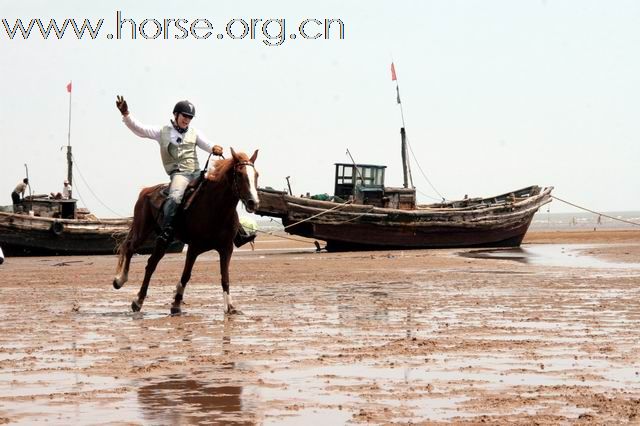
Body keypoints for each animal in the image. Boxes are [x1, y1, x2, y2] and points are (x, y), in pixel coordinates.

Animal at [113, 148, 260, 314]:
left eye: (256, 175)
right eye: (240, 174)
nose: (253, 203)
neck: (216, 209)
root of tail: (146, 191)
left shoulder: (226, 248)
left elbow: (225, 278)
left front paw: (230, 307)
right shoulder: (194, 248)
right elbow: (186, 275)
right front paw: (176, 303)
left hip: (165, 240)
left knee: (151, 263)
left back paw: (137, 299)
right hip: (143, 230)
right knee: (131, 249)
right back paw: (124, 285)